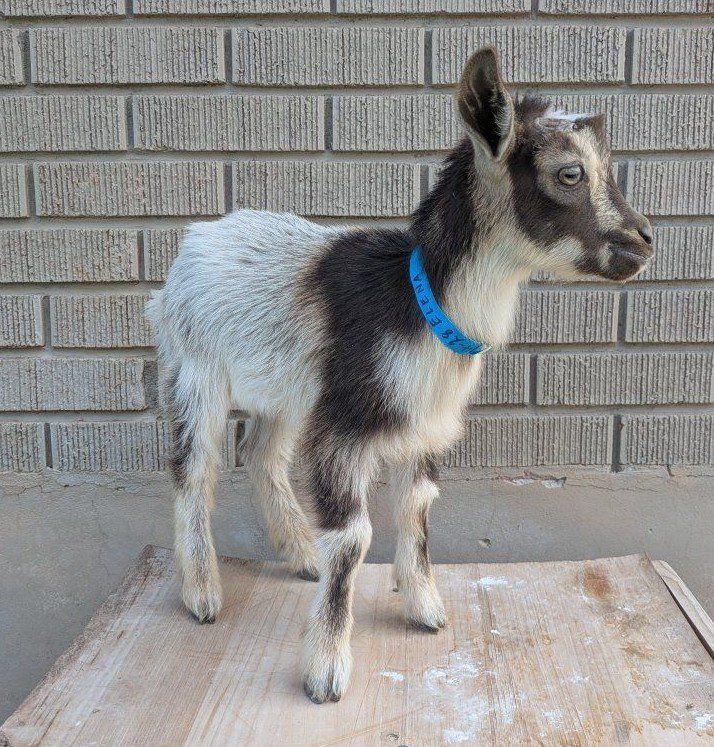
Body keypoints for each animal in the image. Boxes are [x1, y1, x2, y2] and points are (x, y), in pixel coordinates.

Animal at [147, 47, 653, 704]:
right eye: (570, 173)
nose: (644, 243)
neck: (416, 303)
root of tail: (196, 239)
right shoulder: (343, 429)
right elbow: (353, 538)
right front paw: (326, 671)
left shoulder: (422, 427)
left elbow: (418, 508)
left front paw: (425, 608)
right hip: (193, 369)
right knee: (194, 469)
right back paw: (203, 592)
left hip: (287, 392)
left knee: (262, 454)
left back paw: (300, 553)